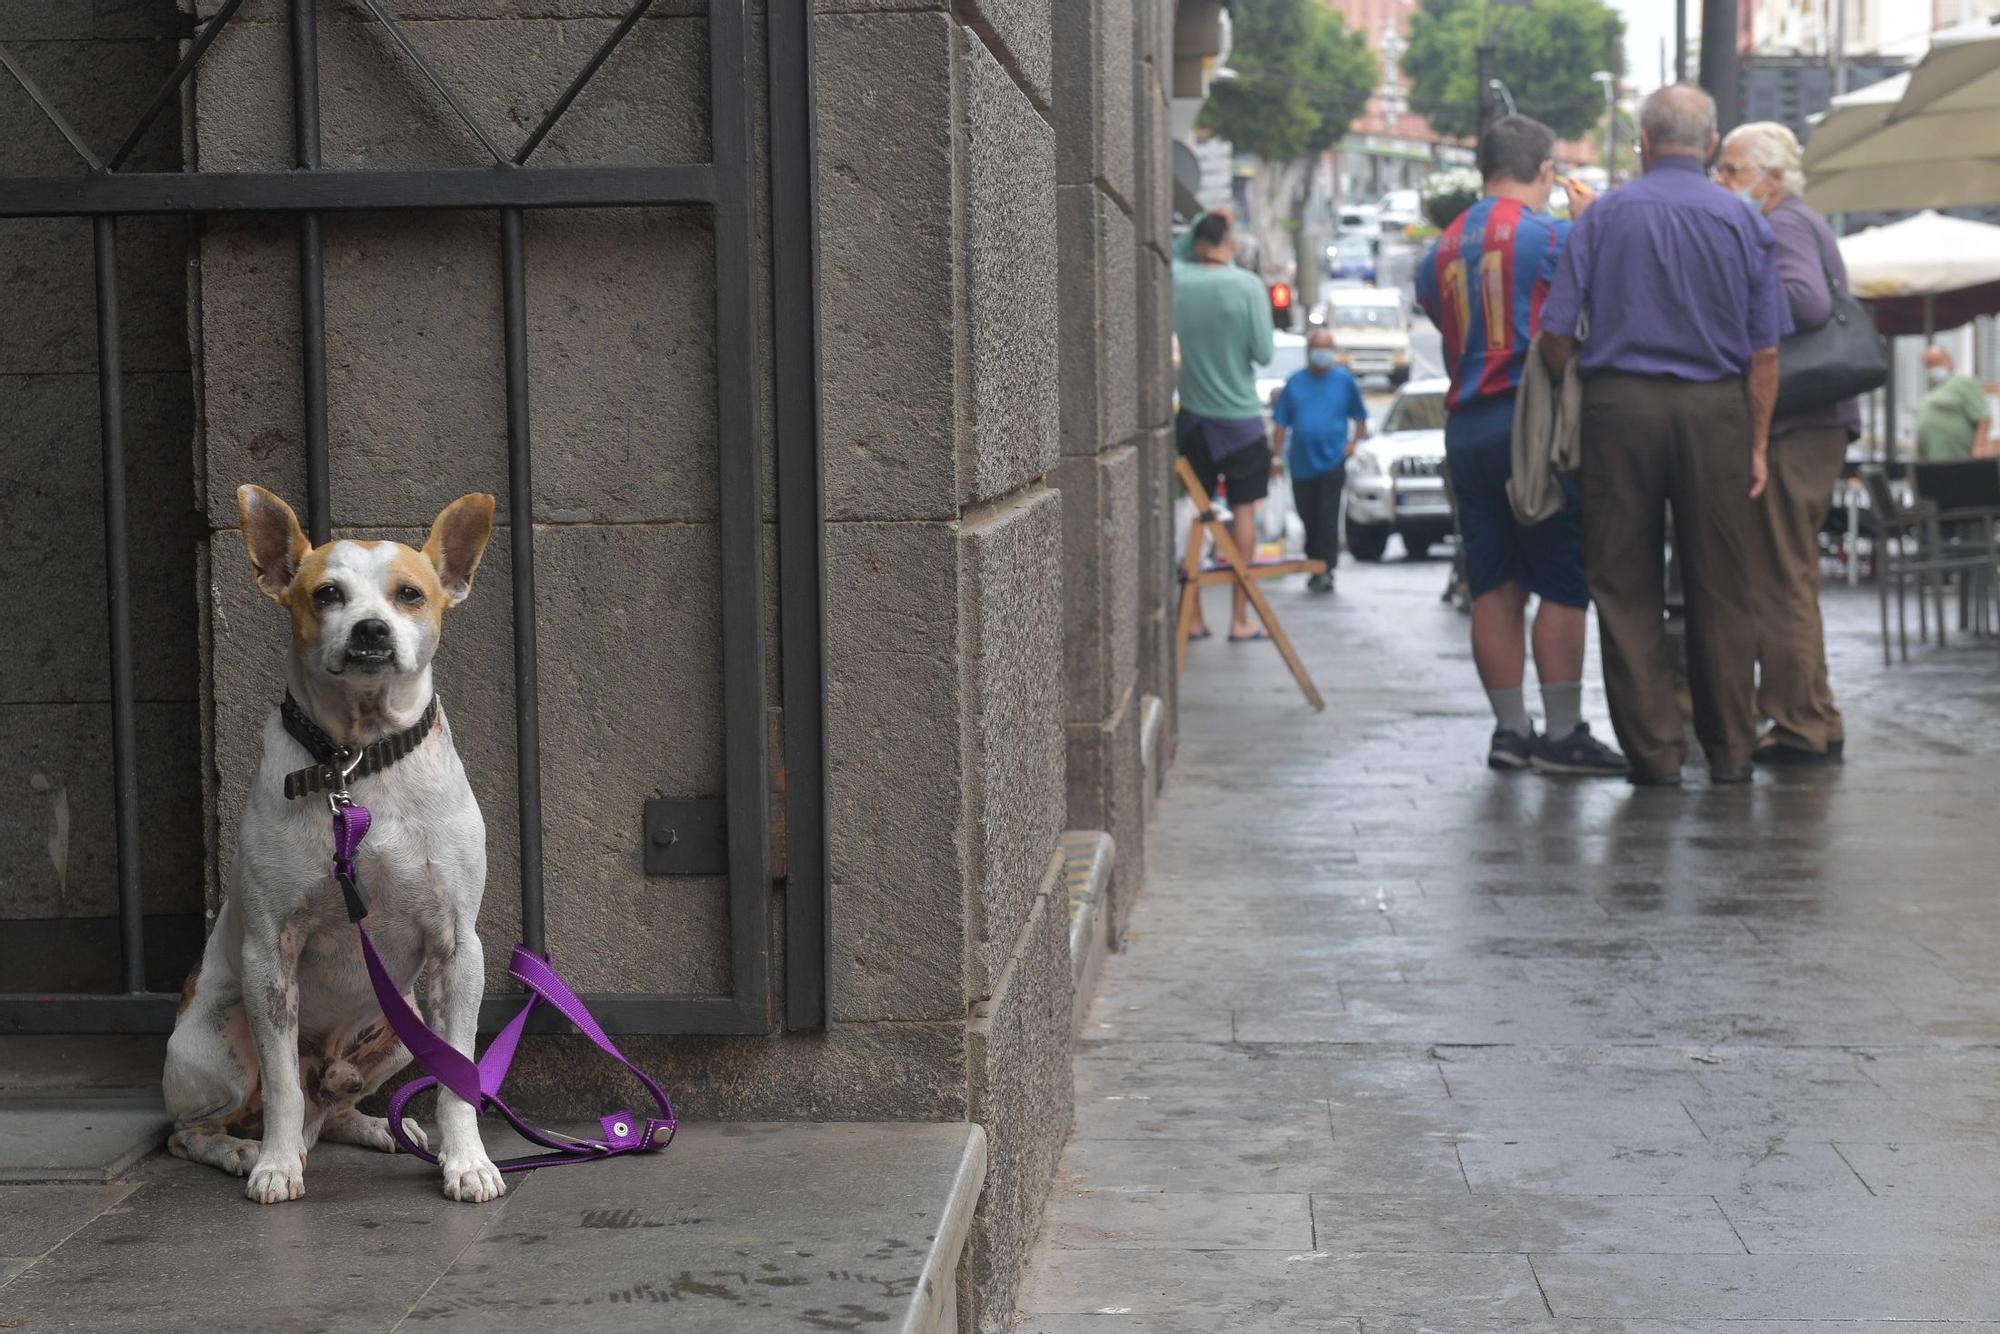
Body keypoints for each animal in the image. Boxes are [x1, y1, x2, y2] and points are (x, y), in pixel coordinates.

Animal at [166, 486, 508, 1208]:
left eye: (409, 595)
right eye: (326, 594)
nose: (371, 629)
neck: (359, 761)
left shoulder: (457, 949)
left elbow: (458, 1076)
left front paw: (467, 1160)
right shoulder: (271, 955)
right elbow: (282, 1089)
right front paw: (275, 1166)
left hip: (404, 1019)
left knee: (334, 1101)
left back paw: (375, 1125)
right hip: (218, 1042)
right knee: (203, 1126)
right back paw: (243, 1149)